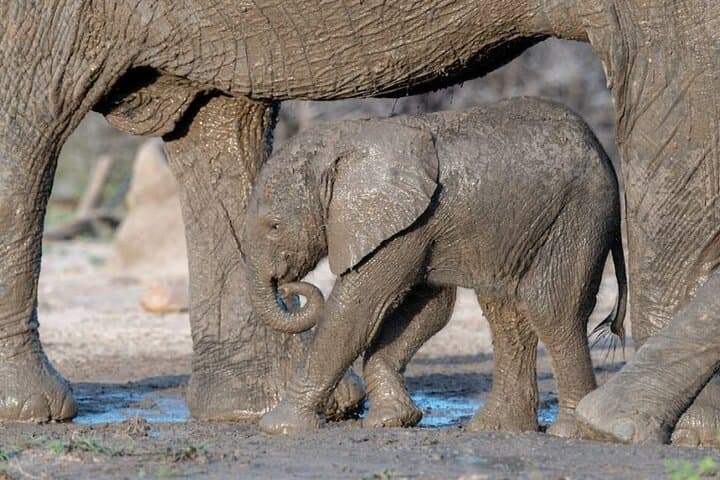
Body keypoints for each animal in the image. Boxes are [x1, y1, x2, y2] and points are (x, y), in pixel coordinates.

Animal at [241, 97, 627, 435]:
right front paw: (392, 420)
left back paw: (571, 431)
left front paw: (278, 427)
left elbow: (357, 308)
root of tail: (603, 151)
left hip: (580, 211)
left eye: (274, 226)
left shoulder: (407, 225)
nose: (286, 284)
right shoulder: (424, 226)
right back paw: (495, 428)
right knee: (506, 310)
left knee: (550, 306)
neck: (345, 140)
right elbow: (429, 307)